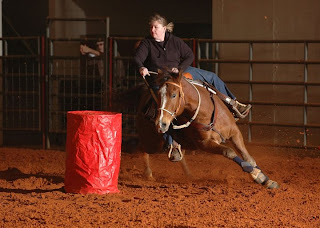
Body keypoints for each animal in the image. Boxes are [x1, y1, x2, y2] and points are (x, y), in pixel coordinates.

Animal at [136, 69, 278, 189]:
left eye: (174, 95)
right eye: (158, 96)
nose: (161, 123)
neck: (206, 112)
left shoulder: (235, 133)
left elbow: (248, 158)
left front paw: (265, 179)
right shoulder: (204, 144)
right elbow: (230, 152)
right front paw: (256, 174)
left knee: (180, 155)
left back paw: (189, 174)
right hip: (153, 142)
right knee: (142, 149)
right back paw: (148, 173)